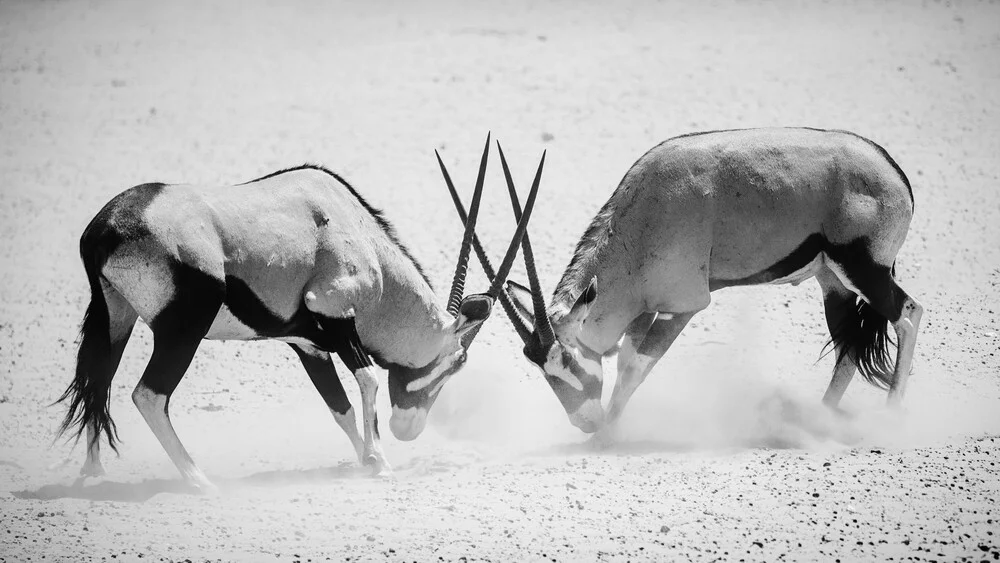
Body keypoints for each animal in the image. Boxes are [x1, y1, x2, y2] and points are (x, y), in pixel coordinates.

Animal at [54, 135, 540, 490]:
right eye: (455, 364)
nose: (408, 430)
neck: (364, 243)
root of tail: (103, 229)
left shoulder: (309, 344)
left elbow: (338, 405)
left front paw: (365, 458)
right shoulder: (336, 314)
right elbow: (367, 380)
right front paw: (380, 461)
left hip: (116, 316)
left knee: (99, 379)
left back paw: (93, 473)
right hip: (182, 332)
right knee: (149, 395)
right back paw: (198, 479)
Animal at [446, 129, 920, 440]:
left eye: (572, 362)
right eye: (542, 369)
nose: (585, 422)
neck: (640, 222)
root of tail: (893, 170)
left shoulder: (682, 305)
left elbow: (636, 366)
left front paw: (612, 433)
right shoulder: (644, 308)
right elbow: (627, 361)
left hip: (863, 268)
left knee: (909, 314)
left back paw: (892, 417)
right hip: (832, 280)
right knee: (847, 345)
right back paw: (820, 418)